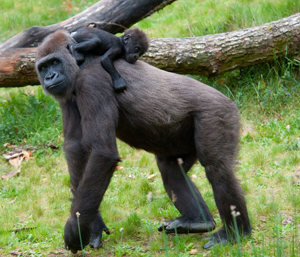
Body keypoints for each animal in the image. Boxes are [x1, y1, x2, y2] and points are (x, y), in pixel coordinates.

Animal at [34, 29, 251, 250]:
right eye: (43, 67)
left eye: (55, 62)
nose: (49, 76)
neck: (81, 62)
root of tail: (228, 101)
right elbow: (76, 147)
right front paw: (92, 225)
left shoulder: (91, 81)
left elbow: (102, 153)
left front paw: (75, 230)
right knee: (172, 170)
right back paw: (198, 221)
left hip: (217, 112)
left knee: (217, 168)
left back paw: (235, 232)